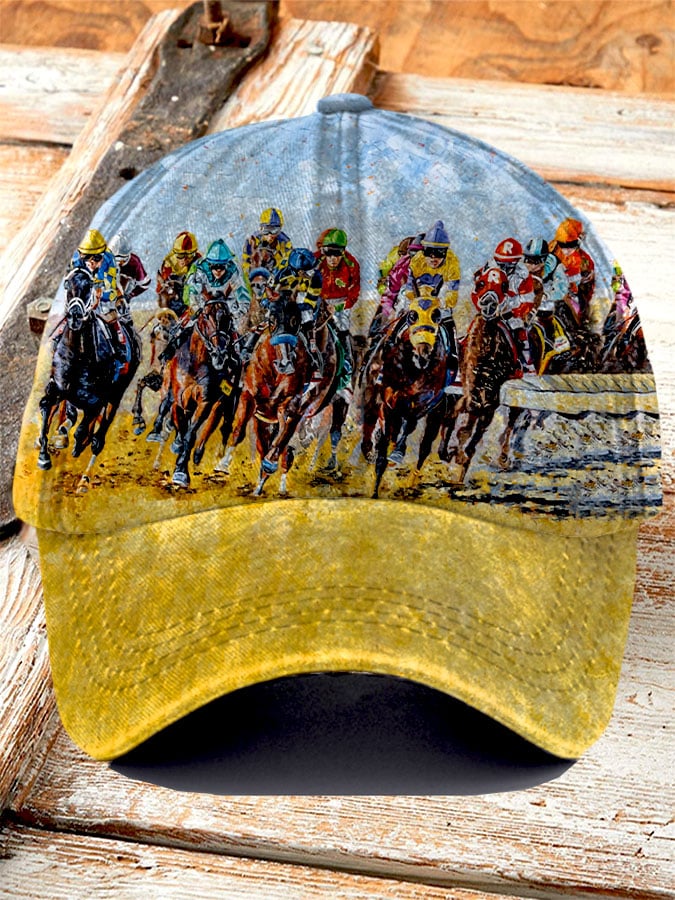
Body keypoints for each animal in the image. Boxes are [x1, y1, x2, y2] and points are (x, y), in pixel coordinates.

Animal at [36, 266, 141, 491]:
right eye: (68, 284)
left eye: (90, 286)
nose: (75, 315)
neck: (78, 356)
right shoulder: (57, 388)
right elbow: (46, 408)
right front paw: (44, 456)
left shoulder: (95, 400)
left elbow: (83, 427)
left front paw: (78, 445)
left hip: (117, 391)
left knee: (106, 418)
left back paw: (93, 448)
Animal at [166, 298, 241, 487]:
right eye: (205, 316)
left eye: (227, 317)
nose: (220, 355)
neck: (195, 364)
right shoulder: (179, 401)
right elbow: (181, 427)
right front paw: (177, 447)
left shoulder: (206, 402)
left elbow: (191, 434)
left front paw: (181, 471)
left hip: (225, 402)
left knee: (220, 425)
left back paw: (201, 454)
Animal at [360, 284, 458, 499]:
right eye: (413, 315)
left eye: (436, 315)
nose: (424, 352)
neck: (411, 368)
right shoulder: (387, 402)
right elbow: (382, 441)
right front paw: (375, 489)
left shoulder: (424, 403)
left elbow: (410, 424)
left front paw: (397, 453)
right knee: (373, 423)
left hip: (437, 414)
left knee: (424, 447)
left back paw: (410, 481)